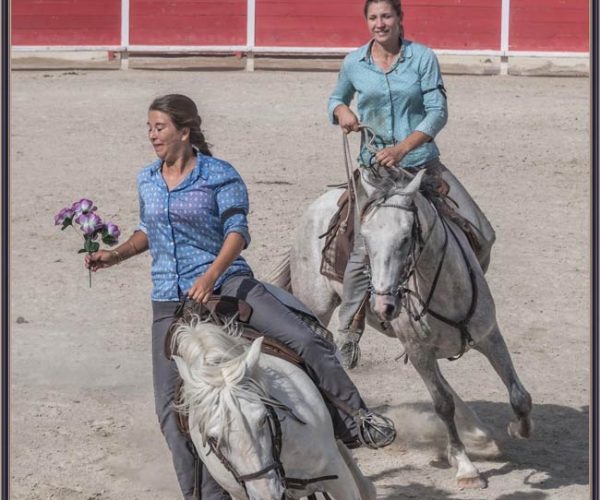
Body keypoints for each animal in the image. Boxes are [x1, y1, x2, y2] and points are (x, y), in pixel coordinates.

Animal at [270, 168, 532, 488]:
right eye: (365, 238)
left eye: (407, 237)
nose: (383, 305)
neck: (444, 290)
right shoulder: (419, 351)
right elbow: (443, 404)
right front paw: (465, 466)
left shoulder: (489, 336)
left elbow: (518, 395)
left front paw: (519, 429)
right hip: (316, 306)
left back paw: (480, 435)